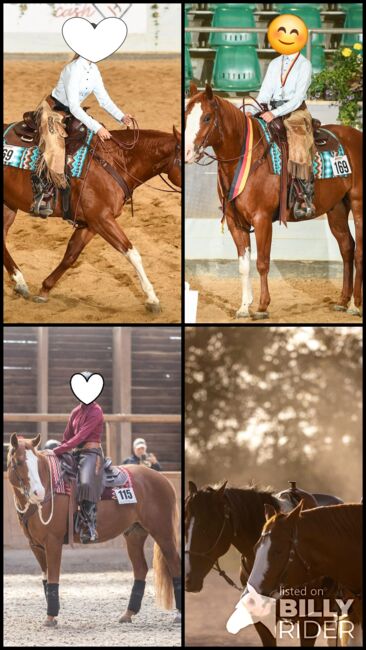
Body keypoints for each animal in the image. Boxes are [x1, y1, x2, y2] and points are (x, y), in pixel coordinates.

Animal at [2, 126, 180, 312]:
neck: (115, 162)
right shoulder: (102, 219)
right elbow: (132, 253)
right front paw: (152, 299)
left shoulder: (90, 225)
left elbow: (71, 255)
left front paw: (45, 290)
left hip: (9, 205)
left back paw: (20, 283)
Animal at [7, 432, 182, 624]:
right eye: (18, 462)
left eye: (36, 462)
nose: (38, 493)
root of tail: (162, 479)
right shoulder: (36, 545)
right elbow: (46, 579)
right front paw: (51, 615)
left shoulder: (53, 541)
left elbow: (53, 577)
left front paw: (51, 616)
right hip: (134, 534)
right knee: (141, 569)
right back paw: (128, 613)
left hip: (163, 533)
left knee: (175, 564)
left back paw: (179, 614)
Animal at [186, 83, 364, 318]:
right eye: (186, 114)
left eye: (207, 117)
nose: (188, 152)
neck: (247, 155)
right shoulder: (235, 223)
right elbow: (243, 265)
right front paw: (244, 307)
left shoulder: (261, 219)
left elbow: (262, 262)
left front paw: (262, 306)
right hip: (337, 209)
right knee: (347, 248)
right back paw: (343, 301)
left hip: (358, 204)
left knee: (359, 250)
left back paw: (355, 305)